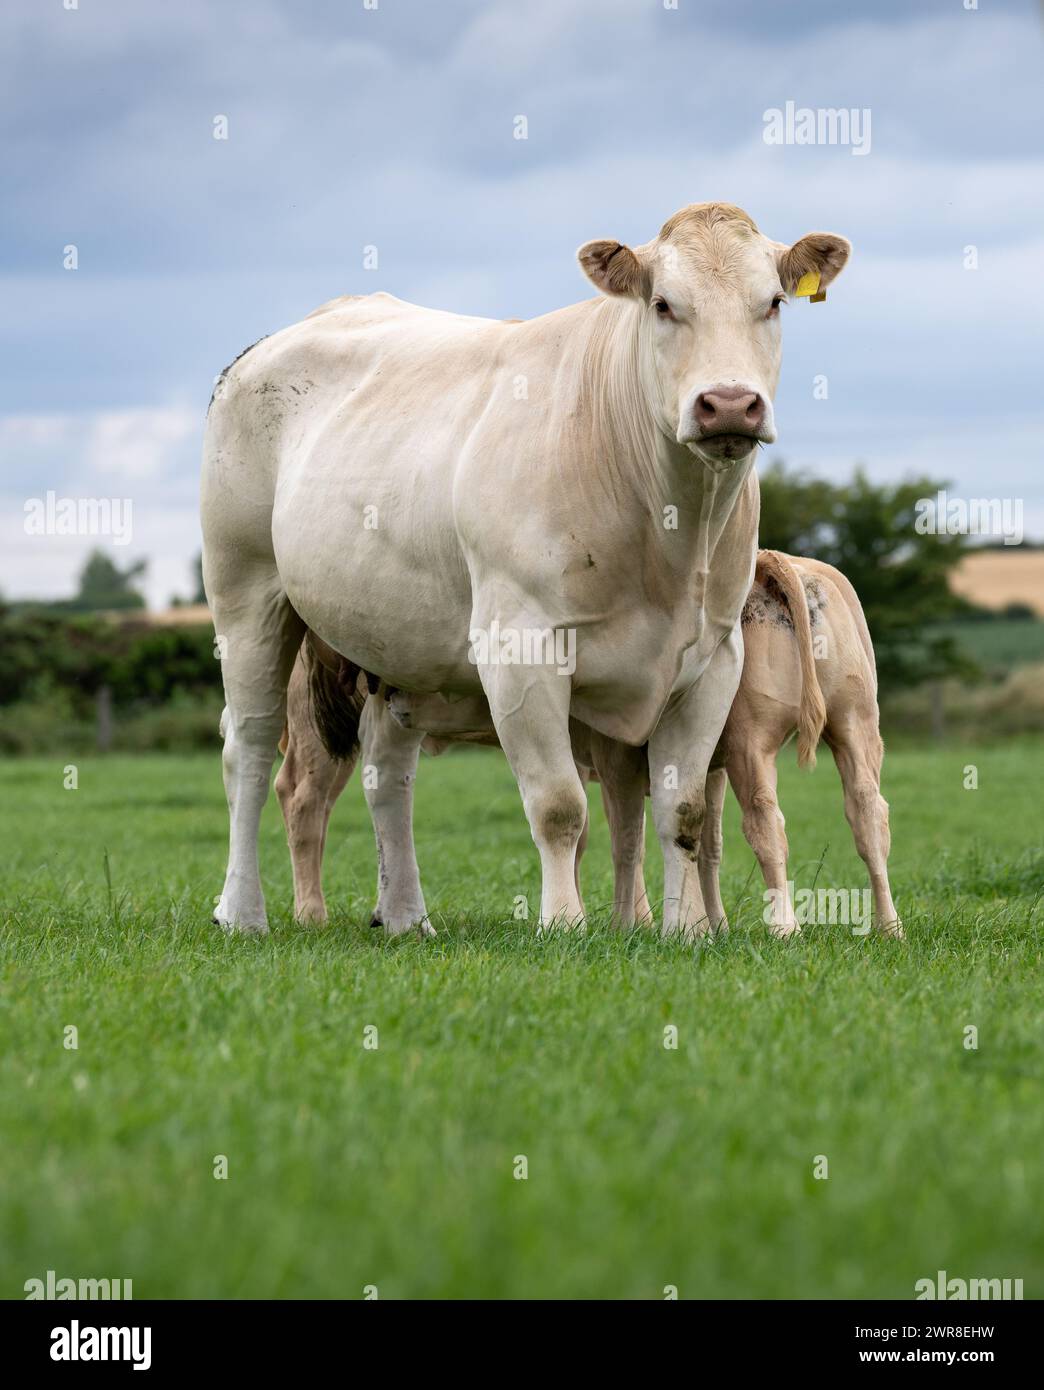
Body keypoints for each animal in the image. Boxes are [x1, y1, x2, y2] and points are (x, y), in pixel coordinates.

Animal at [201, 201, 850, 937]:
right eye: (662, 304)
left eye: (772, 302)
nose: (731, 404)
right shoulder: (520, 645)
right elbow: (559, 806)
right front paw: (563, 924)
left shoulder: (714, 660)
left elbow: (682, 811)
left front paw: (686, 931)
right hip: (248, 597)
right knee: (249, 751)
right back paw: (242, 911)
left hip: (394, 649)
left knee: (388, 773)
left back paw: (405, 917)